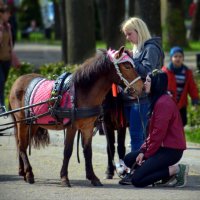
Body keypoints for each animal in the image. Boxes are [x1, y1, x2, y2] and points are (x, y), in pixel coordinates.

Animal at [9, 46, 144, 186]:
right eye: (127, 66)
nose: (142, 87)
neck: (82, 93)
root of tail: (17, 80)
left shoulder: (87, 127)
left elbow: (88, 151)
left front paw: (93, 177)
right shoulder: (71, 127)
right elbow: (68, 151)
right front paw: (64, 177)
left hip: (33, 123)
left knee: (22, 144)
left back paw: (23, 172)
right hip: (22, 122)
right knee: (22, 146)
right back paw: (29, 173)